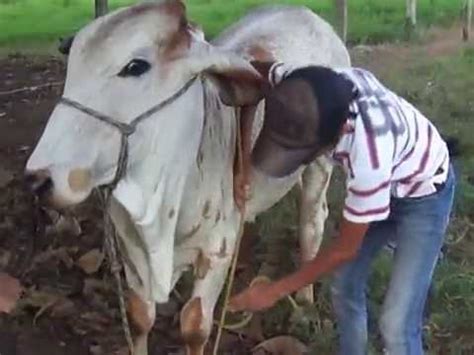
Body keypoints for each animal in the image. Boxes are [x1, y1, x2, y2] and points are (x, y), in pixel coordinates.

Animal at [25, 1, 352, 354]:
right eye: (72, 65)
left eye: (135, 66)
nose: (39, 179)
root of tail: (306, 14)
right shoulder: (130, 248)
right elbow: (139, 316)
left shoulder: (215, 251)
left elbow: (194, 325)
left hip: (320, 165)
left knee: (311, 224)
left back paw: (304, 300)